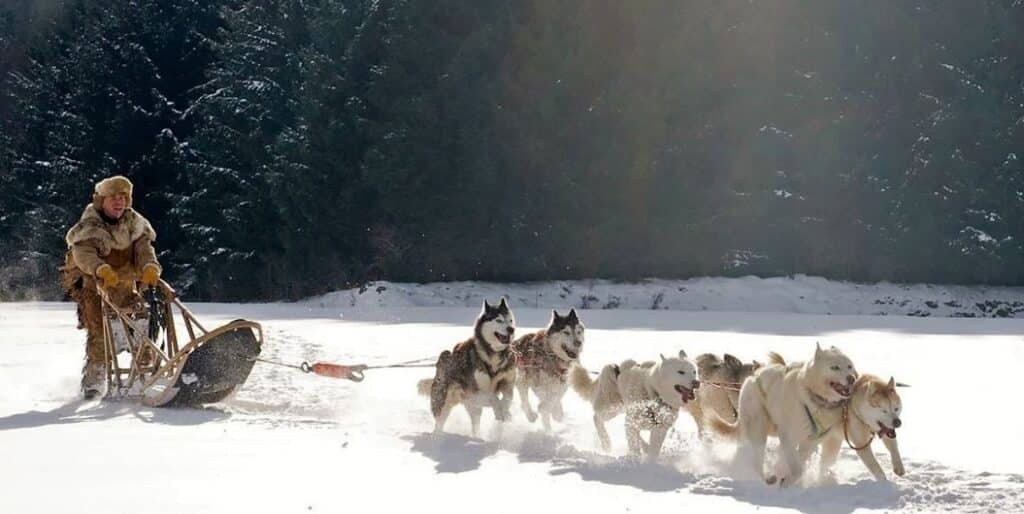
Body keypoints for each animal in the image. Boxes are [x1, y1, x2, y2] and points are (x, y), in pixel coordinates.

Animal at [415, 298, 516, 436]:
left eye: (510, 320)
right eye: (499, 320)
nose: (511, 329)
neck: (493, 356)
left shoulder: (507, 384)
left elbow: (507, 400)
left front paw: (505, 413)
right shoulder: (476, 391)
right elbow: (493, 398)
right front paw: (500, 411)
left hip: (474, 407)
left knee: (475, 424)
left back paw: (477, 436)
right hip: (443, 402)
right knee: (439, 423)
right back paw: (437, 437)